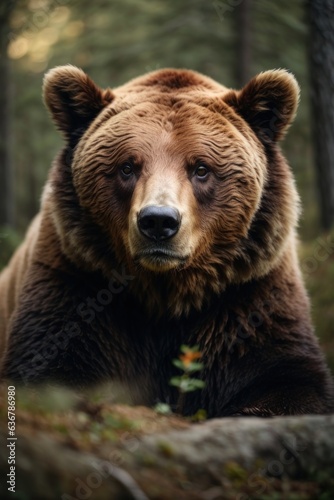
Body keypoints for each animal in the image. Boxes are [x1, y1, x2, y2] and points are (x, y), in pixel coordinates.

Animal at [0, 66, 334, 416]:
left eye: (201, 168)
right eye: (127, 166)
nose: (158, 221)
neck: (166, 292)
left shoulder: (250, 292)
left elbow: (285, 378)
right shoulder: (77, 279)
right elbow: (51, 366)